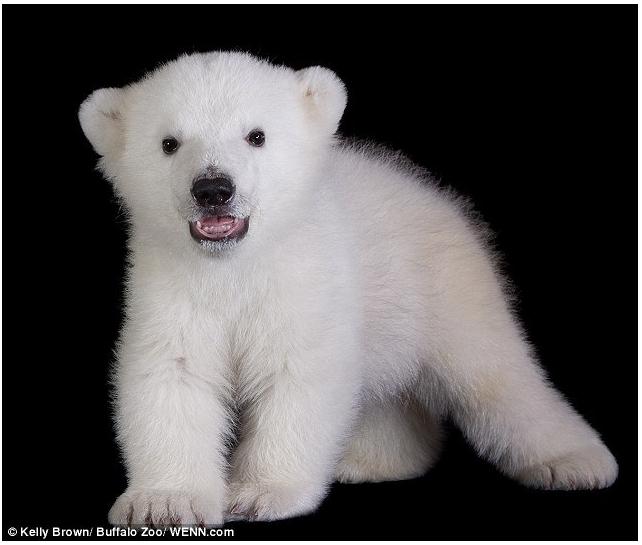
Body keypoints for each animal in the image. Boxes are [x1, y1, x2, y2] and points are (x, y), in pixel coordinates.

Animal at [79, 51, 617, 526]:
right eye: (169, 143)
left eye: (256, 136)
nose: (213, 189)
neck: (236, 264)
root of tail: (436, 196)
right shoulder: (170, 287)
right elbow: (172, 375)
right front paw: (164, 503)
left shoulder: (305, 282)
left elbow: (298, 379)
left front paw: (261, 494)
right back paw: (370, 460)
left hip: (446, 285)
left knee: (496, 375)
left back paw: (577, 462)